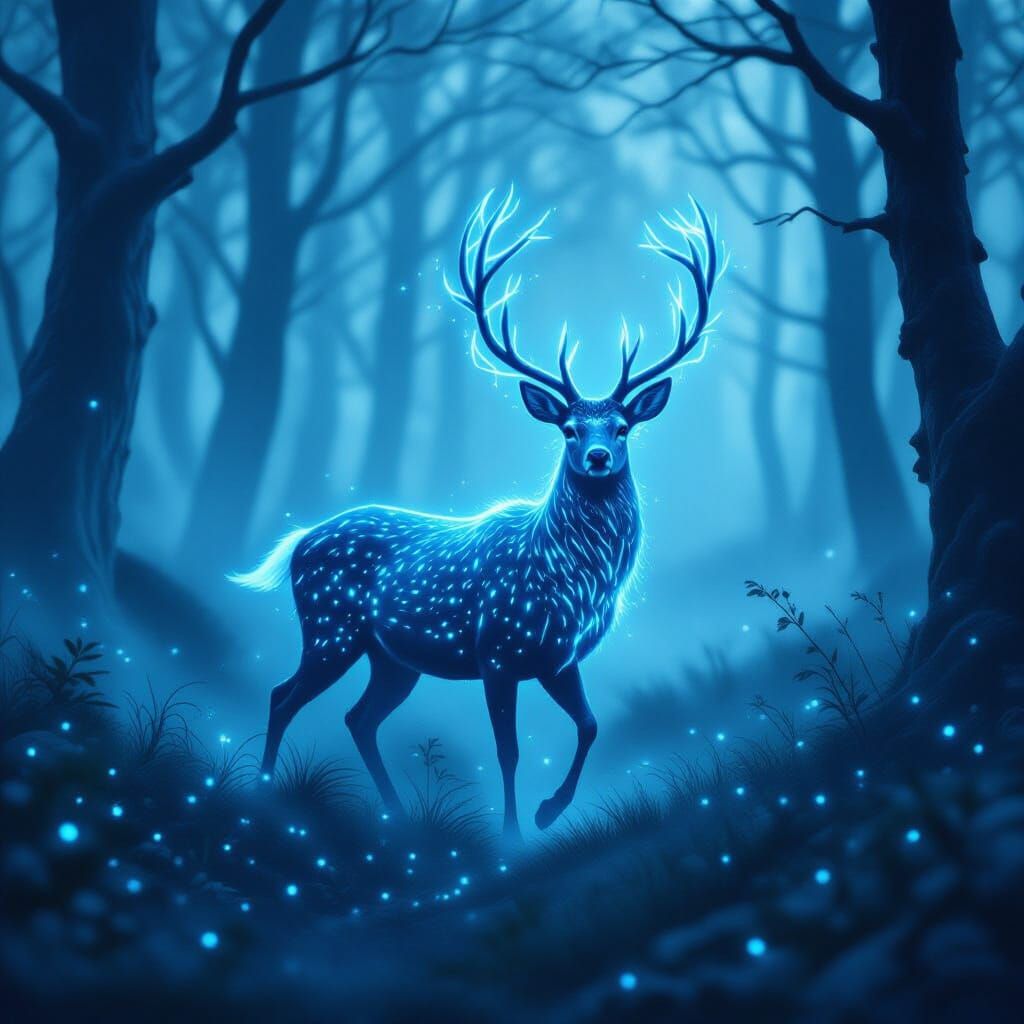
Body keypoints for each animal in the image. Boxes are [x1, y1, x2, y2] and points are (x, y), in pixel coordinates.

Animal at [230, 187, 720, 838]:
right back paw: (264, 793)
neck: (573, 578)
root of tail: (298, 542)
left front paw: (547, 812)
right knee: (283, 694)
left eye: (622, 427)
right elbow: (507, 750)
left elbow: (590, 725)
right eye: (568, 429)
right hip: (331, 624)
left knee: (359, 717)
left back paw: (394, 813)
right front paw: (512, 834)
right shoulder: (498, 650)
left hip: (391, 656)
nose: (596, 457)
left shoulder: (558, 658)